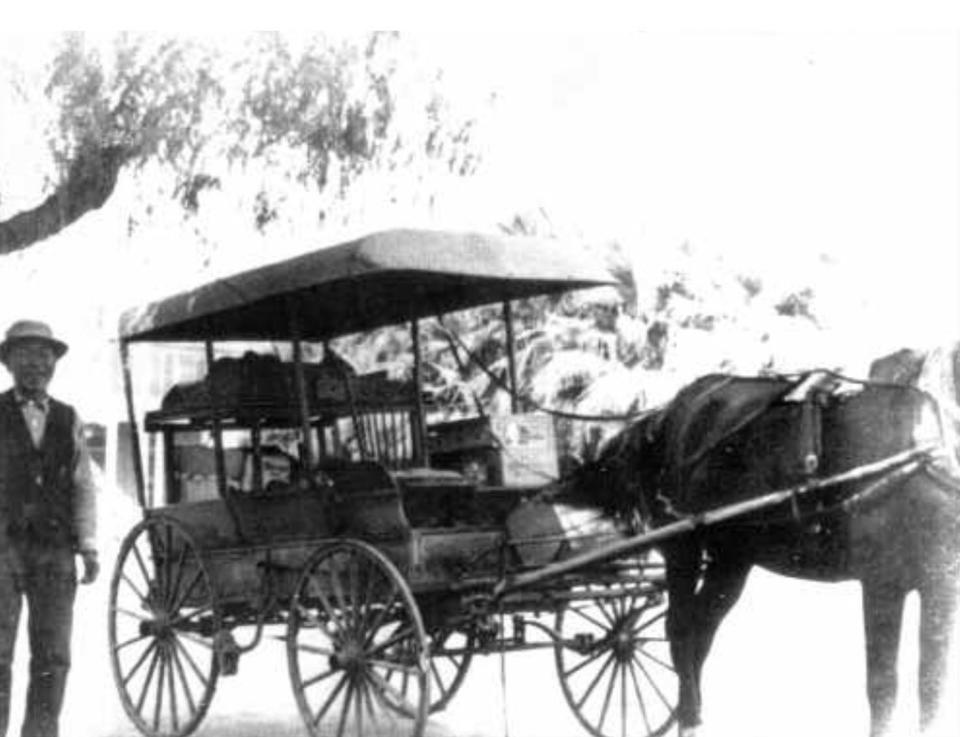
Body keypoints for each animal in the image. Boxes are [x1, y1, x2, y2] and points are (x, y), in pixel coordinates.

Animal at [564, 370, 960, 732]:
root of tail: (672, 410)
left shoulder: (942, 589)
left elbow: (932, 683)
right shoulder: (881, 585)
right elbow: (882, 684)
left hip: (731, 559)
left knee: (701, 628)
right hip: (682, 548)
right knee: (679, 627)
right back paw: (688, 716)